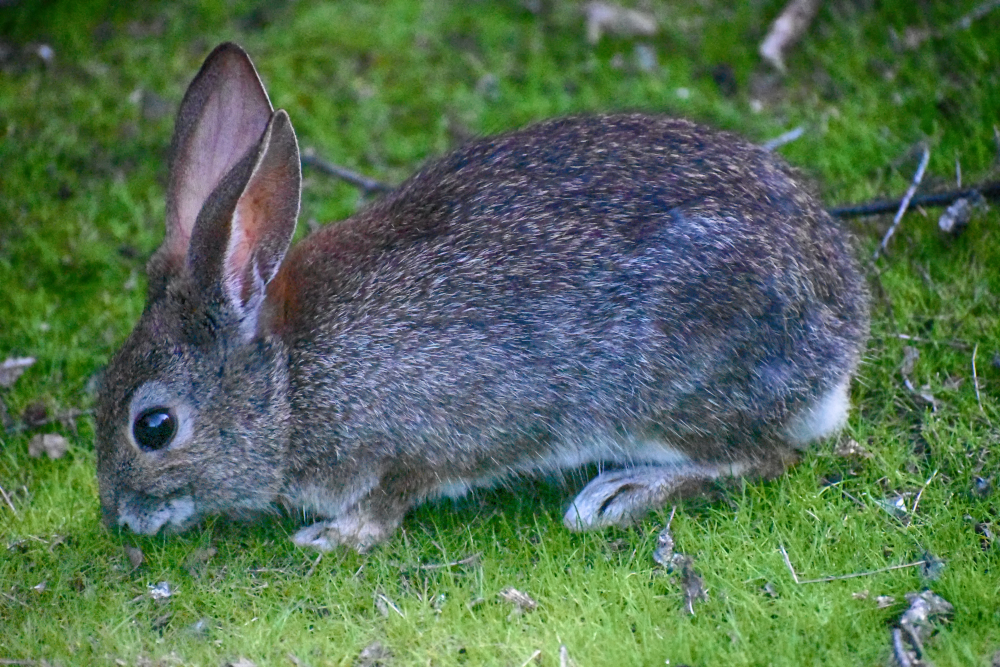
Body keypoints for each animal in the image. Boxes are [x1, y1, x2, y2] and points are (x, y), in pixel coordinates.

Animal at [94, 42, 869, 552]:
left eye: (153, 427)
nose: (116, 516)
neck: (288, 380)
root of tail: (840, 333)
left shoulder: (408, 440)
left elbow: (388, 501)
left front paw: (333, 536)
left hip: (671, 387)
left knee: (762, 456)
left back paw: (623, 493)